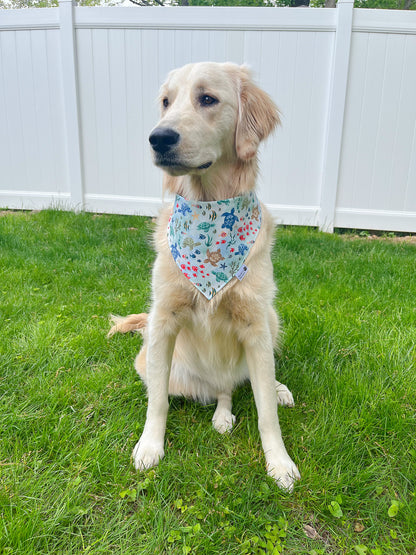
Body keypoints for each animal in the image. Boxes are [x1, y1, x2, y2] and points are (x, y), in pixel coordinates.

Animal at [109, 63, 300, 494]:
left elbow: (266, 411)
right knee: (218, 390)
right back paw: (221, 412)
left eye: (207, 99)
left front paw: (279, 463)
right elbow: (157, 401)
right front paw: (150, 446)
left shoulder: (255, 324)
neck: (210, 210)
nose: (158, 138)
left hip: (271, 317)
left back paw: (272, 392)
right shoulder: (163, 319)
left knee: (245, 384)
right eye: (166, 102)